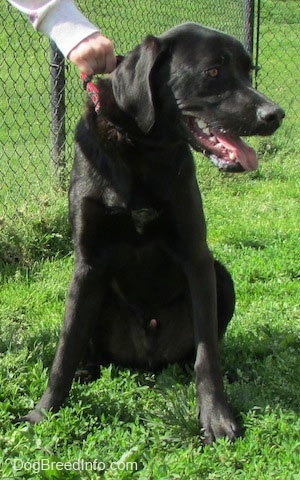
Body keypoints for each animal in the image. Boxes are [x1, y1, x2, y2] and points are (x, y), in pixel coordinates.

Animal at [24, 22, 284, 442]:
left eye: (249, 71)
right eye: (213, 72)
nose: (275, 114)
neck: (142, 149)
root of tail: (145, 358)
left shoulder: (197, 257)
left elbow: (207, 353)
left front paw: (217, 416)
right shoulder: (87, 264)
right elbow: (65, 345)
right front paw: (43, 412)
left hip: (221, 275)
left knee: (200, 350)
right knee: (85, 345)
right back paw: (86, 371)